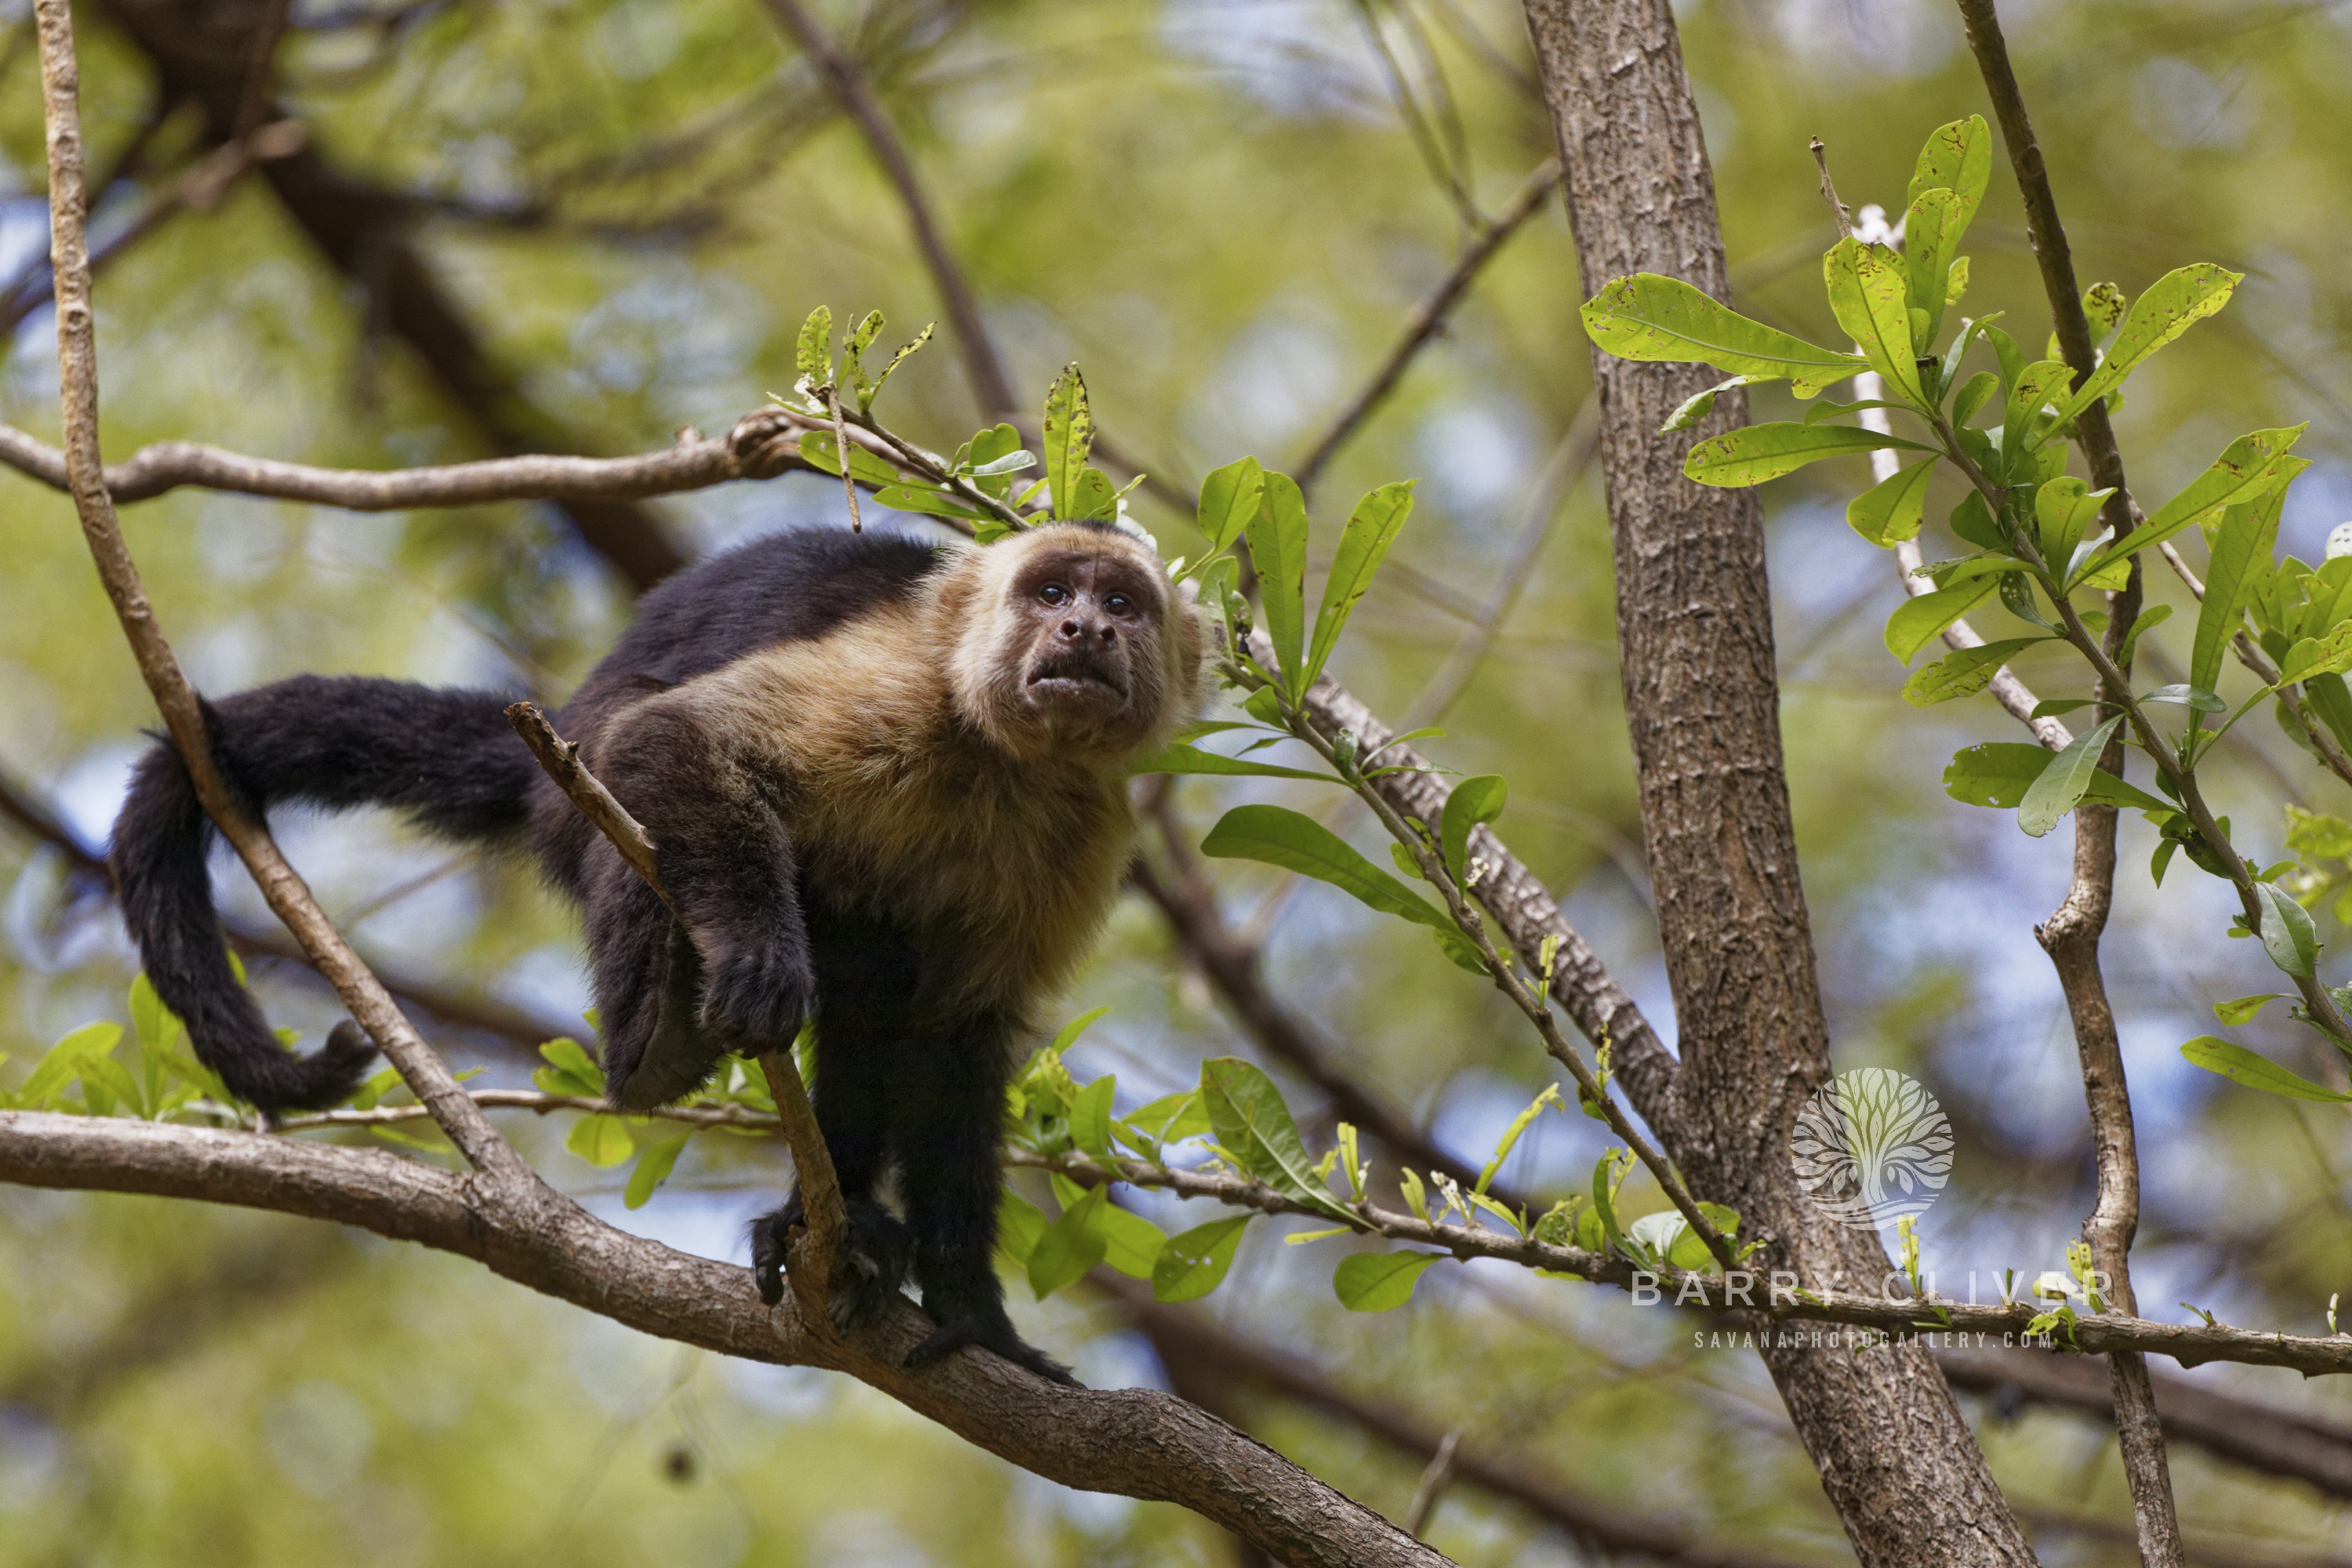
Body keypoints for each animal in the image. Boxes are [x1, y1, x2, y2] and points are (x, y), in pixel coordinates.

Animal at [109, 520, 1207, 1382]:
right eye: (1051, 592)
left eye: (1122, 602)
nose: (1086, 629)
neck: (1002, 761)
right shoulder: (900, 686)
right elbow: (674, 737)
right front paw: (756, 963)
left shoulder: (1085, 830)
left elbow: (957, 1042)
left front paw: (973, 1313)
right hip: (570, 782)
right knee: (632, 769)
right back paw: (657, 1043)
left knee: (879, 981)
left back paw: (840, 1221)